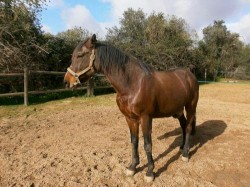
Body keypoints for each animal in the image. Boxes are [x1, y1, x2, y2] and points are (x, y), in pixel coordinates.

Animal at [64, 34, 199, 182]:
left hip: (190, 106)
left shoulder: (146, 118)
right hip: (178, 110)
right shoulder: (130, 119)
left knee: (188, 127)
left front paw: (150, 172)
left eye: (80, 55)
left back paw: (185, 154)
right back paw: (182, 147)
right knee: (183, 125)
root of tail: (189, 74)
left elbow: (147, 145)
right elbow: (134, 142)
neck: (132, 84)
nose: (67, 80)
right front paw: (132, 167)